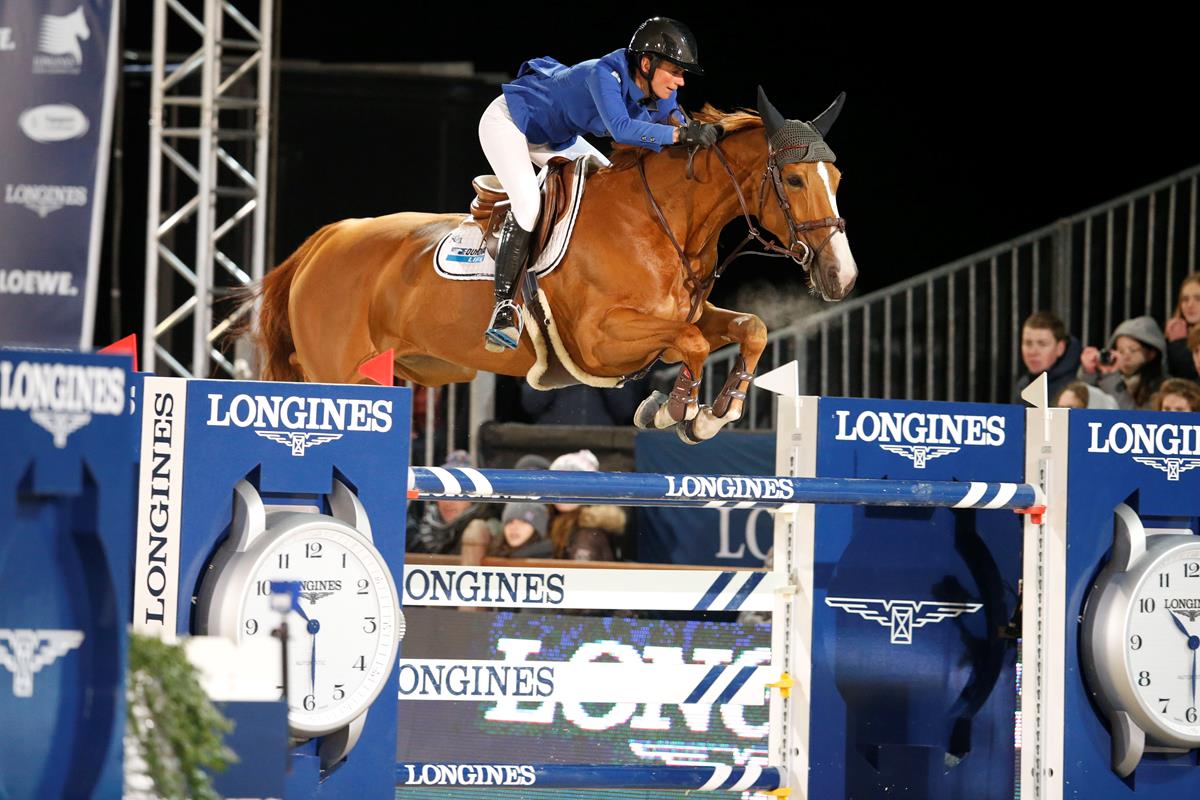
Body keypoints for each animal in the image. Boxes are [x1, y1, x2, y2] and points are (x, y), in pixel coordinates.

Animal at [250, 91, 854, 448]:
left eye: (837, 179)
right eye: (794, 179)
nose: (842, 277)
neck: (660, 218)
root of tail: (325, 241)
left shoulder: (685, 315)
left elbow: (748, 329)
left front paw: (712, 413)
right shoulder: (600, 341)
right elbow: (693, 344)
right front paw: (673, 410)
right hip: (335, 374)